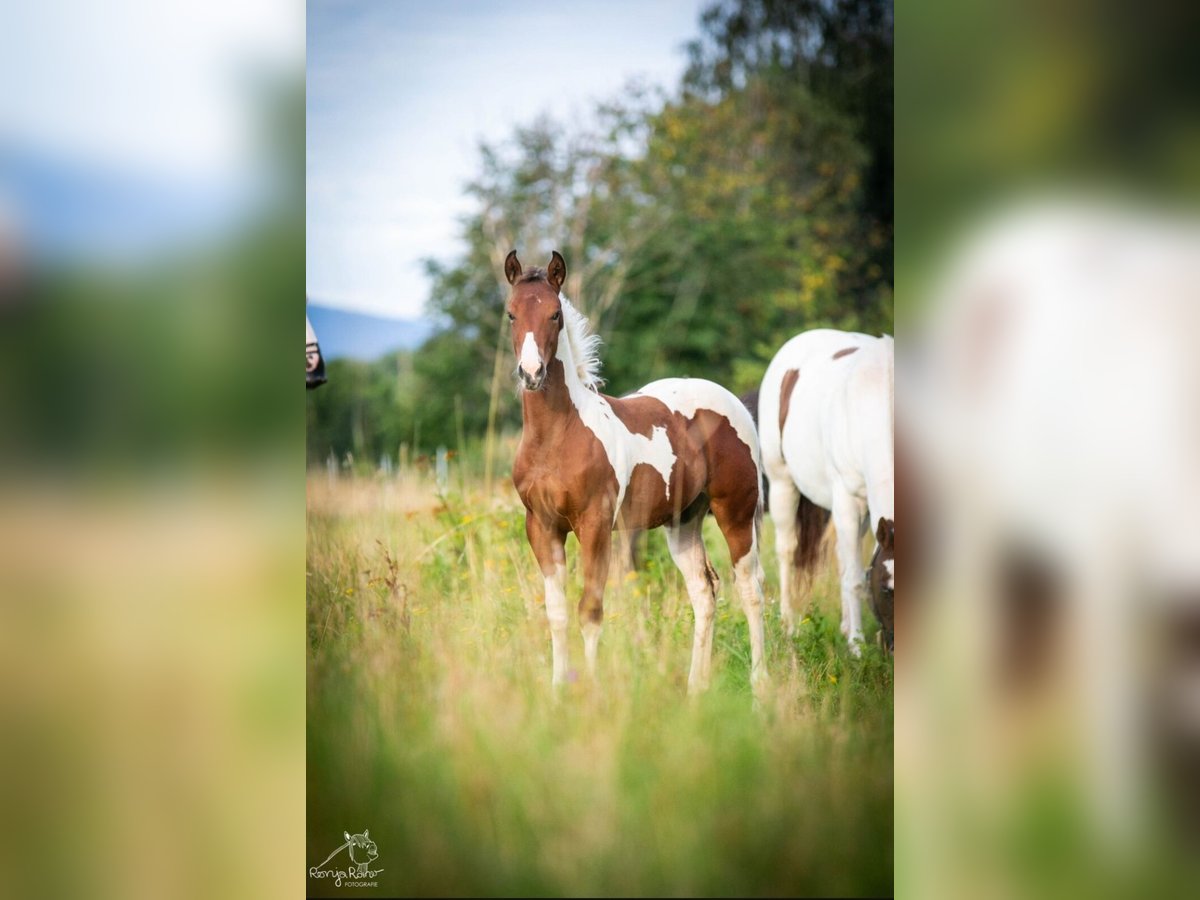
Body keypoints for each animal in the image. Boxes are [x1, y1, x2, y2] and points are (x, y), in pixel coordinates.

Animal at [506, 250, 768, 696]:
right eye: (510, 314)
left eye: (555, 314)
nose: (532, 373)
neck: (559, 436)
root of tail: (735, 404)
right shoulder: (541, 526)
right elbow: (557, 613)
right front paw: (558, 691)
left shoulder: (595, 524)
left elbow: (590, 609)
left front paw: (591, 693)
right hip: (683, 523)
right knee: (704, 591)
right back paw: (694, 688)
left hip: (736, 512)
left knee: (750, 588)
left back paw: (761, 686)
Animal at [758, 328, 892, 652]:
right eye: (886, 588)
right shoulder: (847, 499)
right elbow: (855, 578)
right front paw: (857, 646)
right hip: (782, 484)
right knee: (787, 550)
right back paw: (788, 623)